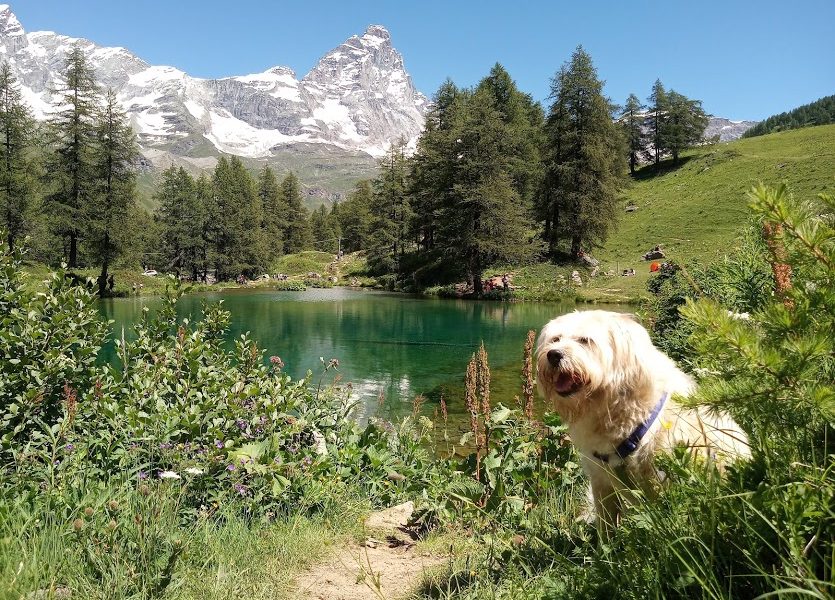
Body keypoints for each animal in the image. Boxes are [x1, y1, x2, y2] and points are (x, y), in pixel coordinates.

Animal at [540, 312, 756, 528]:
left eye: (585, 340)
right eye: (555, 339)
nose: (553, 355)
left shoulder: (661, 481)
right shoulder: (602, 482)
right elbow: (606, 528)